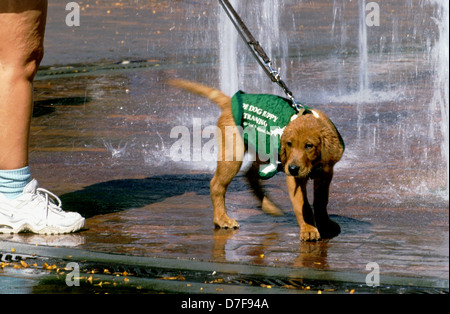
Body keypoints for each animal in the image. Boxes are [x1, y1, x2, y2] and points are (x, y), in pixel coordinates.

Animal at [170, 78, 344, 240]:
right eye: (289, 144)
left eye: (309, 146)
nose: (293, 169)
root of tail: (230, 102)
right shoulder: (294, 178)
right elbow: (303, 205)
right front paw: (308, 229)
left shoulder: (326, 173)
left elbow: (321, 201)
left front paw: (324, 224)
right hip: (234, 155)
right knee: (217, 184)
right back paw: (222, 219)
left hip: (264, 149)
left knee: (250, 174)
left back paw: (268, 206)